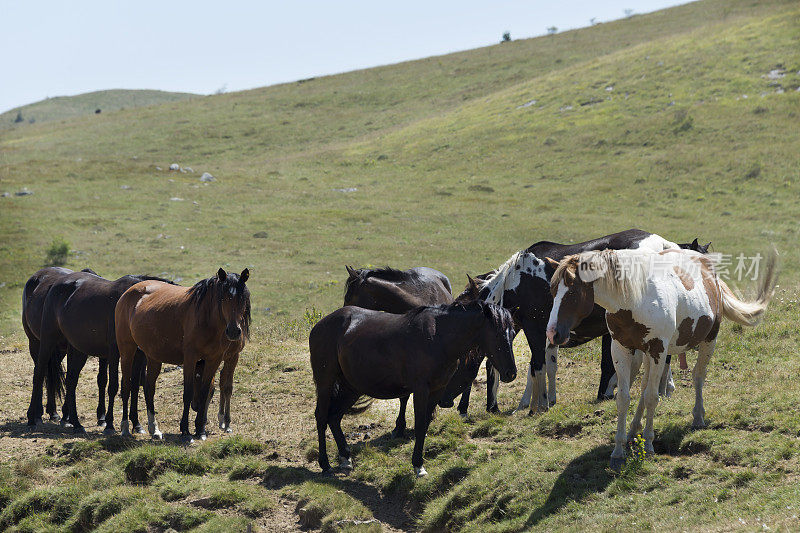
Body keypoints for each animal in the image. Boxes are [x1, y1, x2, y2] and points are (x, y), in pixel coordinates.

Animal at [25, 268, 173, 430]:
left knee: (70, 380)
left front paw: (136, 424)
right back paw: (33, 417)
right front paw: (109, 424)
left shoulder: (138, 356)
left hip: (76, 349)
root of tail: (55, 284)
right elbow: (113, 386)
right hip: (45, 342)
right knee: (39, 374)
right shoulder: (115, 352)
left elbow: (133, 386)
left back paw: (75, 422)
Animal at [115, 268, 250, 442]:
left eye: (242, 298)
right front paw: (185, 430)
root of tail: (128, 293)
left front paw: (200, 430)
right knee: (126, 386)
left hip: (152, 356)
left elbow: (206, 391)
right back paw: (125, 427)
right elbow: (188, 392)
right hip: (127, 351)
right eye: (223, 297)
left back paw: (154, 429)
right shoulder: (190, 359)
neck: (206, 319)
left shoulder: (213, 360)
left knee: (149, 388)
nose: (234, 331)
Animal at [310, 302, 516, 476]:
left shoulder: (437, 390)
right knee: (321, 417)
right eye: (497, 334)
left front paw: (419, 462)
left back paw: (346, 457)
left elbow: (425, 423)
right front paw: (418, 465)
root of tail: (320, 325)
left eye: (513, 333)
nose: (511, 373)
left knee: (334, 417)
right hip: (326, 382)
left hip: (352, 386)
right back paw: (325, 464)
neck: (438, 338)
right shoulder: (421, 390)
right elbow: (419, 424)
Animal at [450, 228, 712, 412]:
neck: (518, 280)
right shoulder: (549, 331)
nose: (461, 408)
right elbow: (547, 364)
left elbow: (537, 366)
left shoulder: (536, 328)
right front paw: (545, 401)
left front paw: (537, 406)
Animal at [548, 247, 780, 468]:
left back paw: (698, 417)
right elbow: (624, 398)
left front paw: (649, 446)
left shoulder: (658, 349)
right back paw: (634, 429)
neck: (635, 299)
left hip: (707, 340)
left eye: (573, 291)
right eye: (552, 290)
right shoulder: (621, 349)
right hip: (646, 354)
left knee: (697, 376)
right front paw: (618, 451)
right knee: (644, 386)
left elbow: (652, 396)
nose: (552, 333)